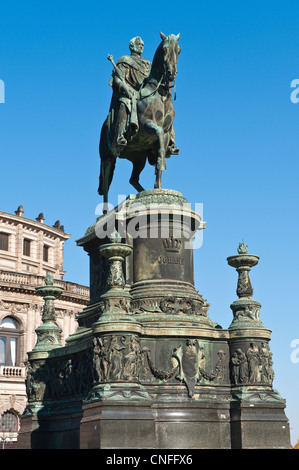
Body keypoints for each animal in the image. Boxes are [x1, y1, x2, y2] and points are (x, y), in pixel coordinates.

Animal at [98, 30, 180, 204]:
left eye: (179, 50)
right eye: (164, 49)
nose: (171, 73)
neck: (160, 95)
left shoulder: (166, 133)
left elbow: (161, 149)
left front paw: (158, 185)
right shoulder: (146, 125)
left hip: (139, 158)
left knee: (133, 179)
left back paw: (140, 193)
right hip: (107, 158)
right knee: (106, 184)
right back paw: (106, 209)